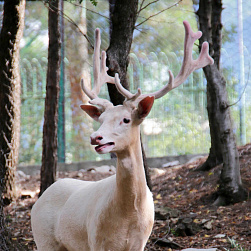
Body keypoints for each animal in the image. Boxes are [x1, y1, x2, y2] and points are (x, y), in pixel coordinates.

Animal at [30, 21, 213, 251]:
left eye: (126, 119)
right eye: (101, 119)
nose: (96, 137)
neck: (128, 218)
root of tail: (40, 198)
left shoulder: (140, 242)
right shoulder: (96, 240)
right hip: (44, 238)